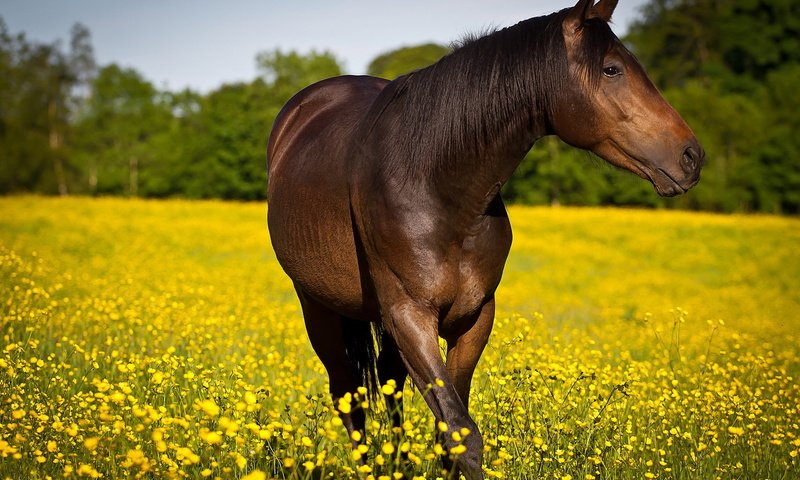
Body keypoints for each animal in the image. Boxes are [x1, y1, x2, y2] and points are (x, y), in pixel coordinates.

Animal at [268, 0, 700, 476]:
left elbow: (449, 431)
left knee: (389, 385)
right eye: (611, 69)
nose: (692, 157)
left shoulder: (474, 317)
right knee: (348, 396)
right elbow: (462, 432)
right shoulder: (409, 316)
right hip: (318, 306)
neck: (437, 186)